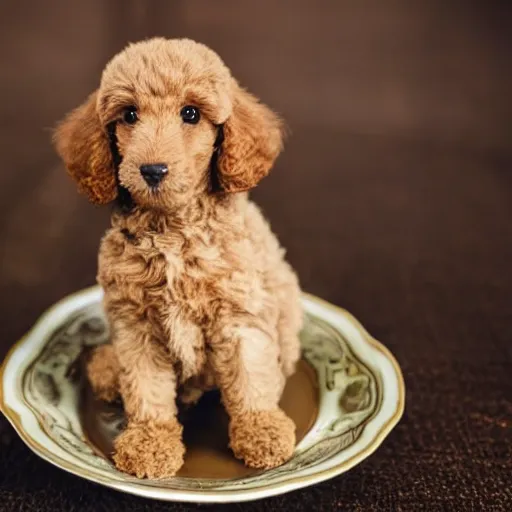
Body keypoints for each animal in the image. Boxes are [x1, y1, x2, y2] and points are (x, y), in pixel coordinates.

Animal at [55, 37, 304, 480]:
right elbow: (146, 387)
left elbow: (250, 376)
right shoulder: (136, 325)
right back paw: (107, 367)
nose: (152, 170)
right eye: (129, 114)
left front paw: (262, 431)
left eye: (190, 113)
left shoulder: (238, 315)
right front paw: (150, 442)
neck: (172, 229)